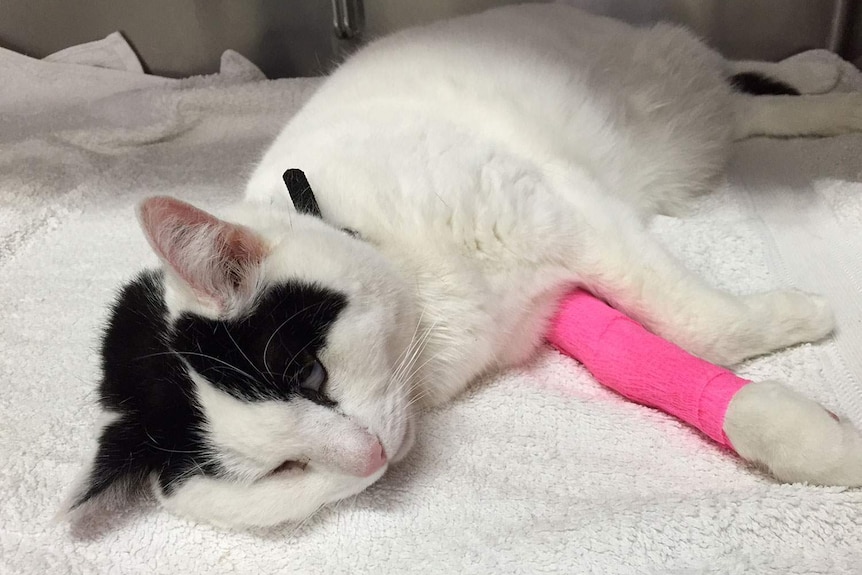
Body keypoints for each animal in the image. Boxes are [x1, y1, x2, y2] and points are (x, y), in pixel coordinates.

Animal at [66, 3, 862, 532]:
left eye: (310, 374)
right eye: (279, 473)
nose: (369, 456)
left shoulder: (564, 208)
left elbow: (695, 324)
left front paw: (804, 315)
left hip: (656, 82)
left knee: (728, 79)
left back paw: (824, 74)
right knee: (745, 108)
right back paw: (832, 98)